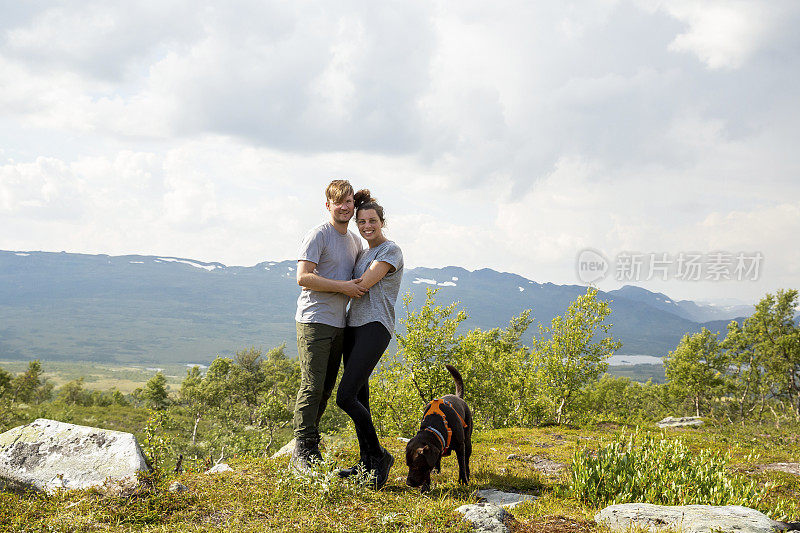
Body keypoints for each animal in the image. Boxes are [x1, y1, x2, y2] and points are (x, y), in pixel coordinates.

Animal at [404, 364, 472, 492]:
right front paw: (426, 486)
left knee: (466, 460)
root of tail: (458, 397)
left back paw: (467, 474)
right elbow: (428, 471)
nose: (408, 483)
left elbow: (461, 464)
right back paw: (437, 470)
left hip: (467, 441)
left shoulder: (460, 447)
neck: (434, 425)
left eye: (416, 466)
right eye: (408, 465)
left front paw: (463, 481)